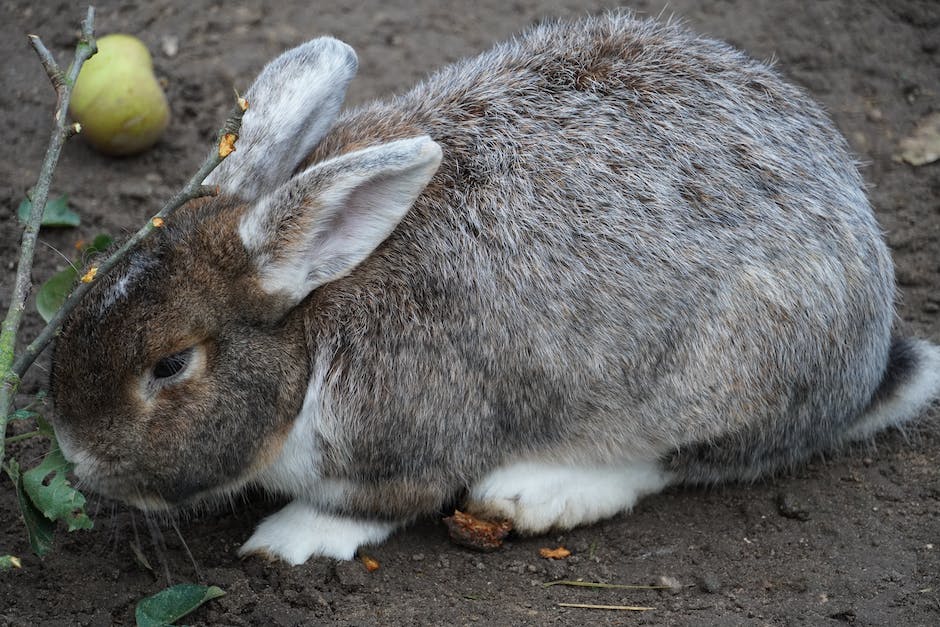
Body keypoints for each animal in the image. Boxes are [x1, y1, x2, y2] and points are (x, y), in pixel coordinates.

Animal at [49, 12, 940, 568]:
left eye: (170, 365)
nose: (76, 456)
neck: (310, 328)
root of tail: (868, 363)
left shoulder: (409, 445)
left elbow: (367, 506)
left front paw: (288, 539)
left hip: (727, 370)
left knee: (678, 462)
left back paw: (536, 493)